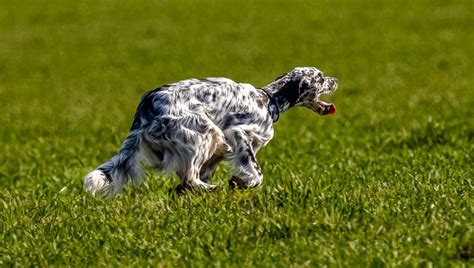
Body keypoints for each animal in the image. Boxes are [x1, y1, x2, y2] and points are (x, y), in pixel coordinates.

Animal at [84, 67, 336, 197]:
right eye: (321, 78)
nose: (335, 80)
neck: (268, 100)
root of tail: (147, 106)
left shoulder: (220, 151)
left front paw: (237, 181)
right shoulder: (237, 133)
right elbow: (255, 172)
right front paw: (241, 182)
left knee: (188, 181)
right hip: (203, 132)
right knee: (190, 178)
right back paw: (213, 189)